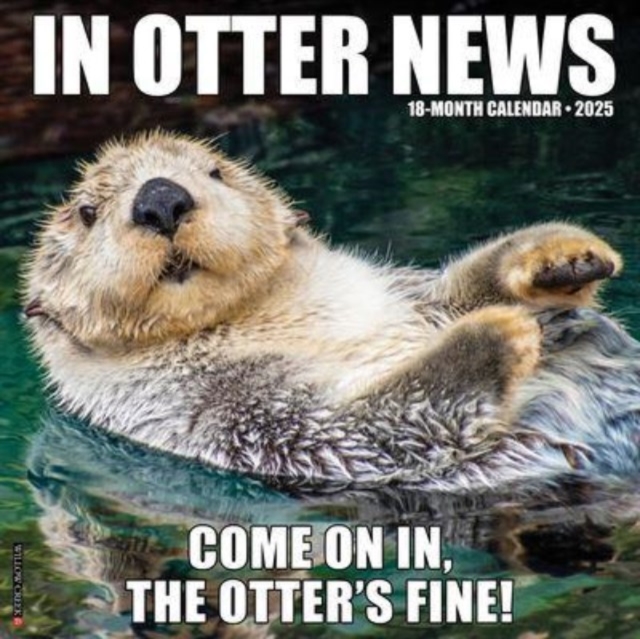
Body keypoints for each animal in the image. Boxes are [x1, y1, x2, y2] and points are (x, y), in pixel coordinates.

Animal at [23, 130, 640, 493]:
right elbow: (372, 425)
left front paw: (562, 256)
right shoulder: (232, 416)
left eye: (215, 171)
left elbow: (459, 289)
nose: (160, 199)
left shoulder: (409, 300)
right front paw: (498, 331)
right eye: (87, 212)